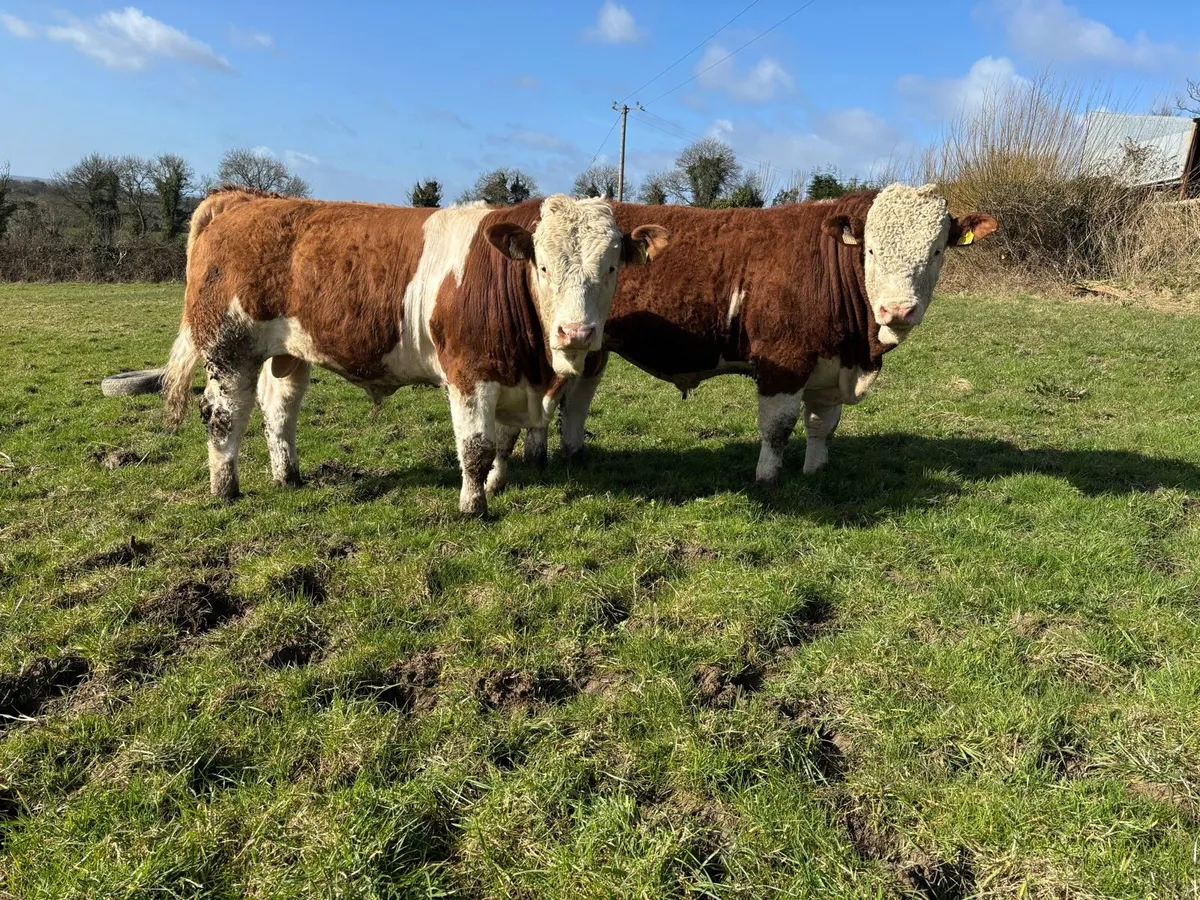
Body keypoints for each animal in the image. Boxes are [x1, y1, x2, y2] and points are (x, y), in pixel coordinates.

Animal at [162, 188, 669, 516]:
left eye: (611, 266)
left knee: (279, 410)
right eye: (542, 266)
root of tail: (242, 200)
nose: (576, 332)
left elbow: (504, 442)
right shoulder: (469, 374)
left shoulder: (511, 377)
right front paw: (473, 505)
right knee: (224, 416)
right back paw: (225, 490)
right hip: (229, 349)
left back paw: (288, 476)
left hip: (288, 353)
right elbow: (476, 446)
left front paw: (497, 484)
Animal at [522, 184, 996, 484]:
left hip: (593, 345)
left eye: (937, 251)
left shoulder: (829, 366)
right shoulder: (783, 362)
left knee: (577, 398)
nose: (897, 309)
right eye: (872, 250)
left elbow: (822, 425)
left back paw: (575, 454)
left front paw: (815, 472)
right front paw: (767, 478)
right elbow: (778, 427)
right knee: (548, 398)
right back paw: (538, 460)